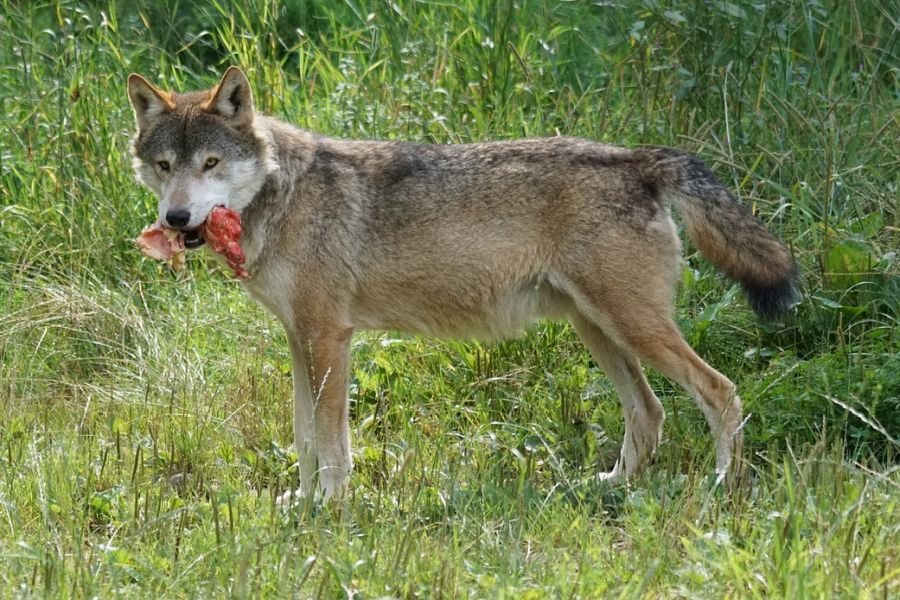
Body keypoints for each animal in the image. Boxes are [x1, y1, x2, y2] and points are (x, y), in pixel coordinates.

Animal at [125, 65, 796, 500]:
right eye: (165, 166)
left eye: (210, 164)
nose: (176, 219)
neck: (278, 197)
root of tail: (636, 158)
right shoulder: (300, 340)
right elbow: (303, 436)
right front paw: (302, 503)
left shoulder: (328, 338)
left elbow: (331, 444)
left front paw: (330, 509)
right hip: (598, 329)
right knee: (649, 411)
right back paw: (610, 487)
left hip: (632, 328)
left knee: (721, 392)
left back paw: (722, 486)